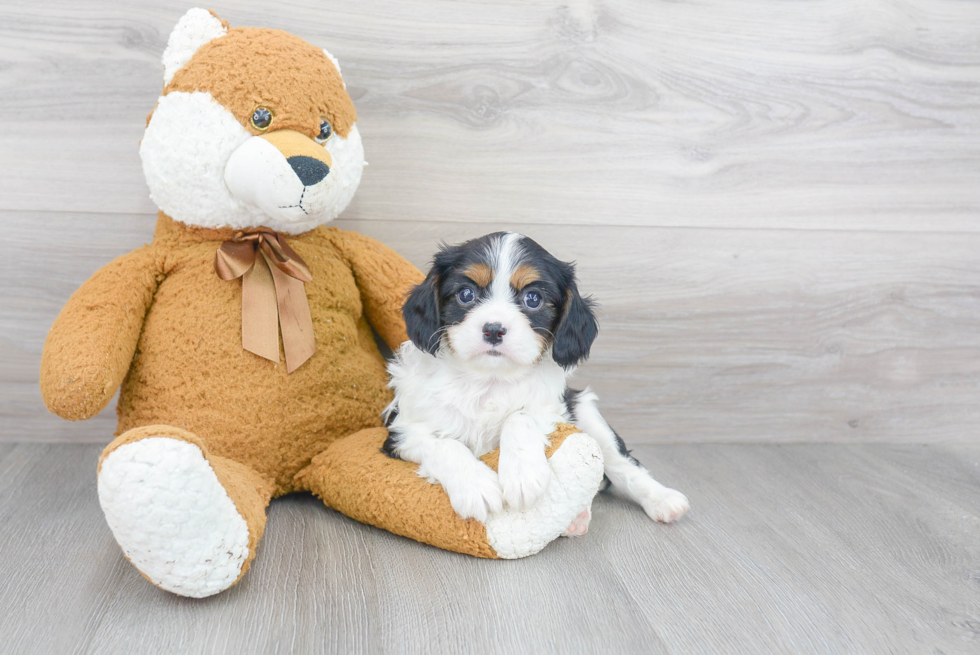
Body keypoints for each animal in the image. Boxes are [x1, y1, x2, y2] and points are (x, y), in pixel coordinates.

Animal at [382, 233, 688, 532]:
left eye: (532, 299)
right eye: (466, 294)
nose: (493, 329)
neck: (489, 378)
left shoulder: (554, 409)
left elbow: (520, 417)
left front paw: (522, 475)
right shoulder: (401, 432)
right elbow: (444, 444)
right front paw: (475, 486)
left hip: (585, 410)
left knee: (622, 463)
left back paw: (662, 499)